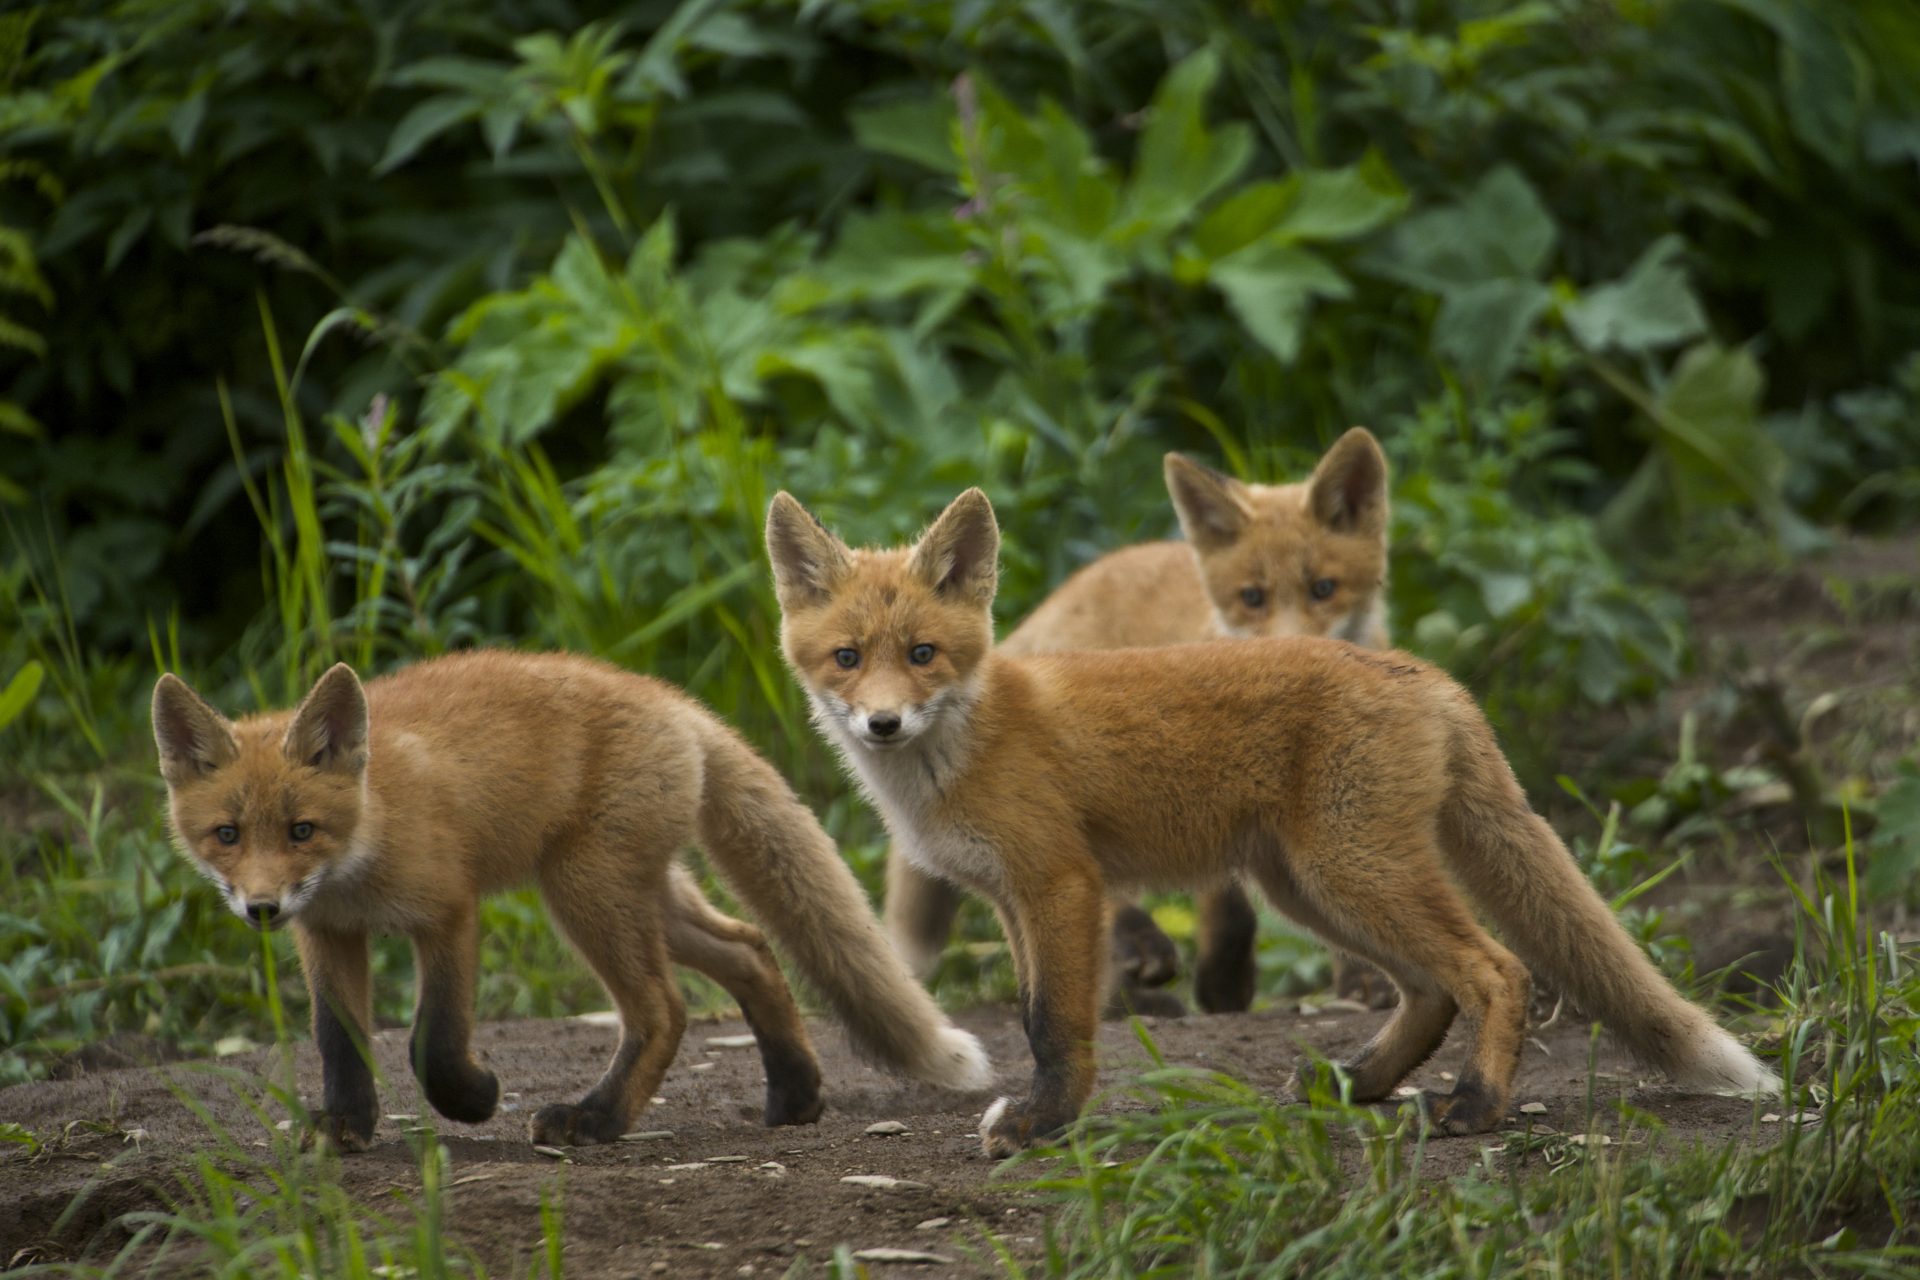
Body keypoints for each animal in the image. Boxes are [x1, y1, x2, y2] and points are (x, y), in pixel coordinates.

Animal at [149, 652, 990, 1151]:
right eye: (227, 834)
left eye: (301, 830)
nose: (262, 909)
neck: (371, 828)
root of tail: (671, 700)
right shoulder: (326, 933)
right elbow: (338, 1041)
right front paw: (346, 1128)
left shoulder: (449, 911)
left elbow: (432, 1041)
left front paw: (473, 1099)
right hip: (641, 897)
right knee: (750, 949)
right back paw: (794, 1095)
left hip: (584, 891)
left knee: (664, 1010)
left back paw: (598, 1118)